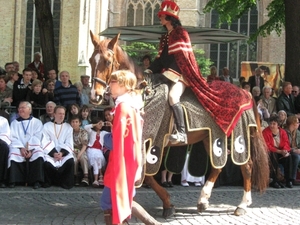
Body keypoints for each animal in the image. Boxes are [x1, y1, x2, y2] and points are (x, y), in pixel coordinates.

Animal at [88, 30, 270, 218]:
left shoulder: (149, 140)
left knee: (246, 166)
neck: (141, 92)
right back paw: (203, 200)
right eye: (90, 60)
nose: (95, 96)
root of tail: (246, 93)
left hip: (237, 137)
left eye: (107, 61)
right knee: (218, 167)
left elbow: (146, 175)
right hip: (210, 137)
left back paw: (242, 204)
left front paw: (165, 204)